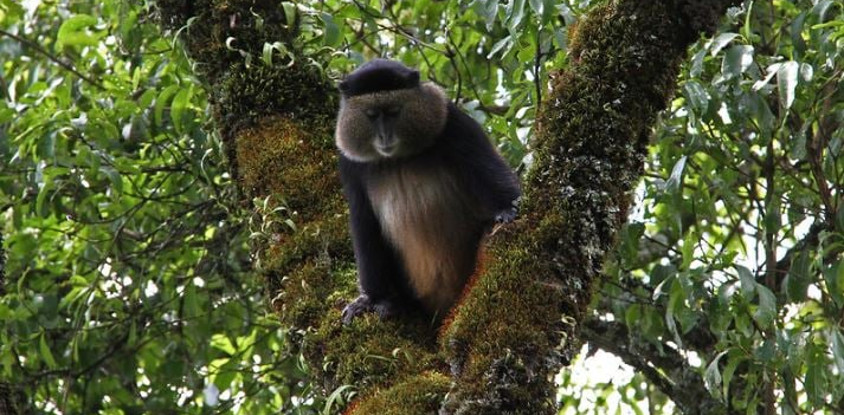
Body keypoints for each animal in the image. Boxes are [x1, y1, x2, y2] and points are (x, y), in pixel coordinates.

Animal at [335, 59, 521, 324]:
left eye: (393, 111)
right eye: (371, 115)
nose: (384, 136)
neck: (397, 159)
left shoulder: (453, 123)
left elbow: (486, 166)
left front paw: (507, 208)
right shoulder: (348, 163)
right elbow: (364, 221)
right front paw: (372, 299)